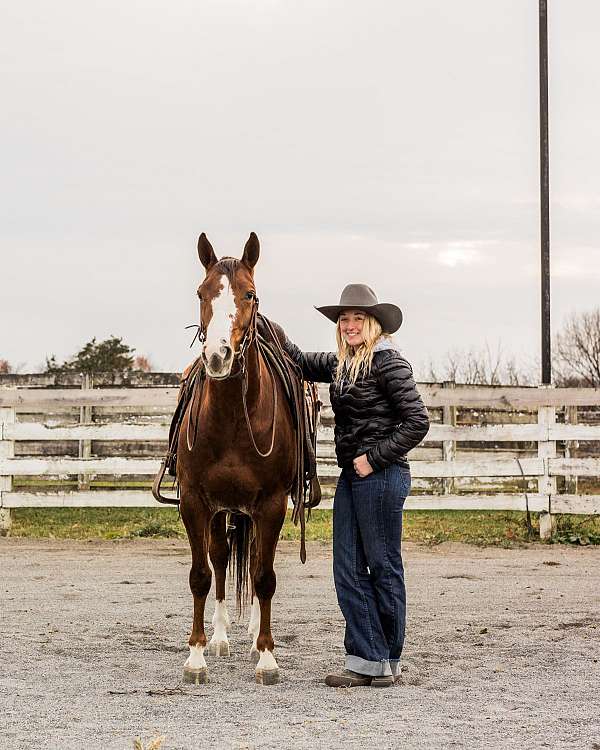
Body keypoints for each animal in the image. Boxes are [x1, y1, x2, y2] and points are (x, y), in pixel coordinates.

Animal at [177, 232, 298, 684]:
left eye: (250, 293)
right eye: (201, 292)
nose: (218, 356)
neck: (231, 419)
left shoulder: (271, 504)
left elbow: (264, 578)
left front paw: (266, 657)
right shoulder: (195, 501)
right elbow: (201, 575)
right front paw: (196, 655)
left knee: (255, 563)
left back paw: (251, 639)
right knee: (222, 560)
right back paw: (221, 636)